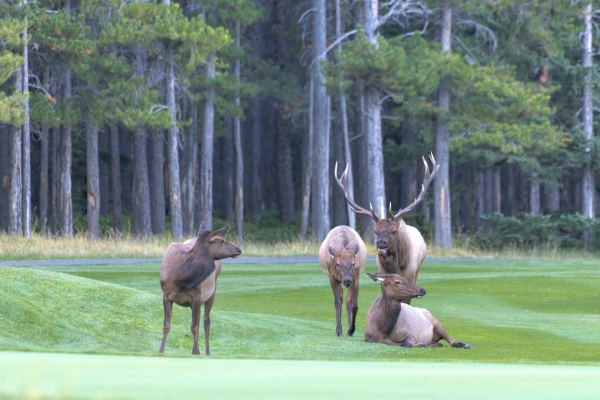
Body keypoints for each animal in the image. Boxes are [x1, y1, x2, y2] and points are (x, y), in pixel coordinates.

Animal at [162, 222, 244, 356]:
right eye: (222, 240)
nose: (239, 249)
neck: (180, 279)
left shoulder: (196, 296)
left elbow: (194, 327)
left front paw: (196, 353)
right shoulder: (166, 295)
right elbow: (166, 326)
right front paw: (161, 352)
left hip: (211, 292)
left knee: (206, 321)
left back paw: (206, 352)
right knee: (200, 321)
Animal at [336, 154, 438, 304]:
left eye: (393, 231)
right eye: (376, 231)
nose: (381, 243)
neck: (396, 265)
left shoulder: (410, 273)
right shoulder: (383, 274)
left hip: (418, 269)